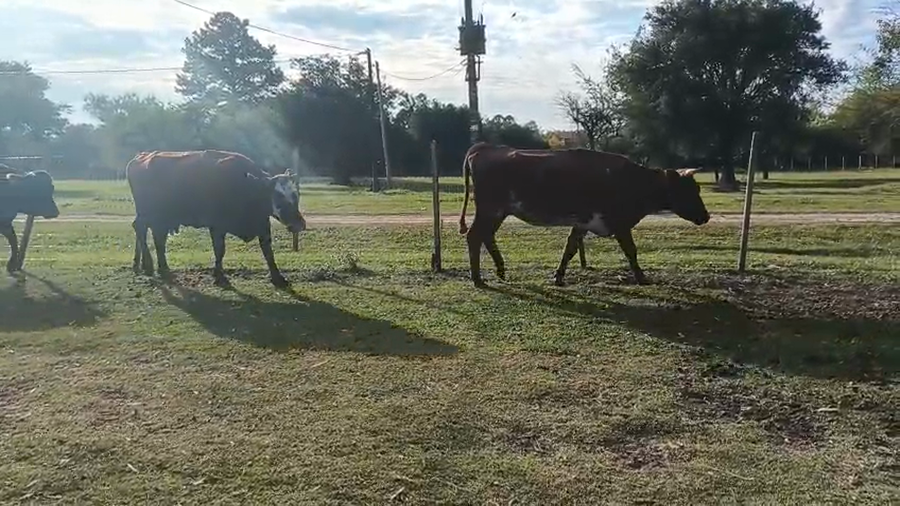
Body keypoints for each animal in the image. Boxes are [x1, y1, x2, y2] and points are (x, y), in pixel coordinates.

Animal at [125, 150, 306, 288]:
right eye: (278, 196)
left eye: (295, 195)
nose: (299, 224)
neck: (247, 186)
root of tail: (142, 156)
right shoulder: (217, 226)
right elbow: (220, 250)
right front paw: (219, 276)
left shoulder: (262, 223)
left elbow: (268, 251)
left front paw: (278, 277)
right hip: (150, 214)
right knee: (143, 230)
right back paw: (150, 265)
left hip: (158, 218)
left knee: (152, 236)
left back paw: (144, 264)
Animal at [456, 142, 710, 287]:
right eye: (688, 190)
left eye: (697, 188)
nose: (706, 216)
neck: (631, 181)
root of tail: (484, 148)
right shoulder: (619, 223)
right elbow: (631, 251)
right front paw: (642, 277)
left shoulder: (582, 222)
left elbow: (569, 249)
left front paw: (558, 276)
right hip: (490, 209)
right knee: (474, 236)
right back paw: (477, 279)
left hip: (496, 212)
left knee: (486, 236)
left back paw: (500, 270)